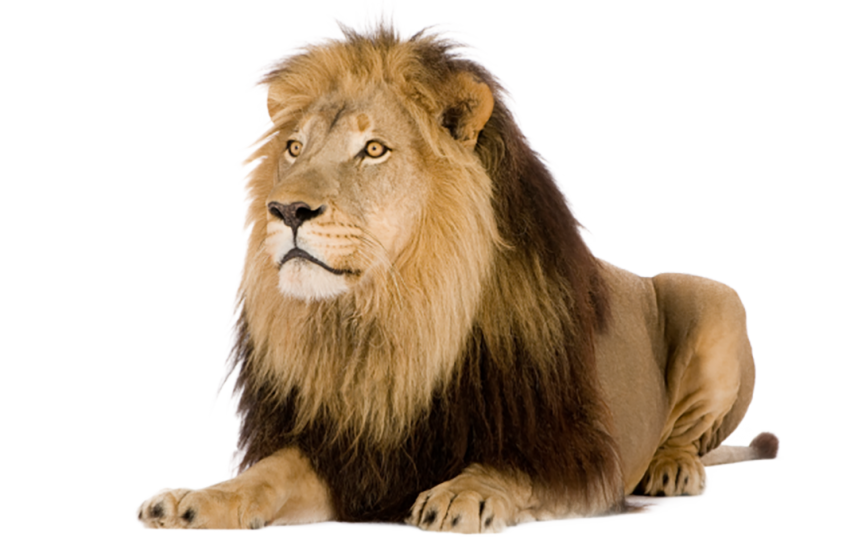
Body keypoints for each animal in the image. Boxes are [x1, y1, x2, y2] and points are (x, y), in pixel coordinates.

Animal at [137, 13, 779, 534]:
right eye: (295, 148)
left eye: (373, 150)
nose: (287, 210)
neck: (391, 316)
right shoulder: (349, 456)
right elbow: (267, 473)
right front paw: (197, 499)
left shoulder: (580, 457)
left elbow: (508, 468)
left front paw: (462, 494)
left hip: (713, 296)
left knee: (689, 434)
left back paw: (672, 467)